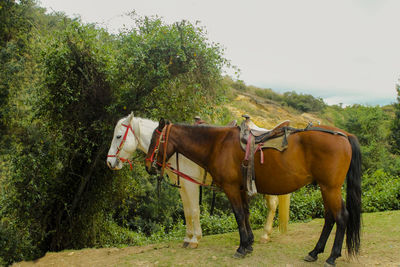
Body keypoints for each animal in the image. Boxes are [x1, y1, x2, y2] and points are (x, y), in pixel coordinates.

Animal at [106, 113, 290, 249]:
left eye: (118, 136)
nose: (109, 162)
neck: (178, 150)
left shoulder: (191, 184)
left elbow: (194, 210)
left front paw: (195, 239)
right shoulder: (183, 185)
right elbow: (187, 211)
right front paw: (188, 238)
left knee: (272, 204)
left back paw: (265, 235)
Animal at [145, 119, 362, 267]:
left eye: (155, 139)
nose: (148, 166)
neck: (217, 144)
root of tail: (344, 134)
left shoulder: (231, 188)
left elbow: (239, 215)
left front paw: (241, 248)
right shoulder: (241, 189)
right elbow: (246, 215)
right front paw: (249, 244)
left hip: (330, 188)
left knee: (341, 217)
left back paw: (332, 256)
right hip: (326, 188)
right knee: (330, 218)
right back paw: (315, 252)